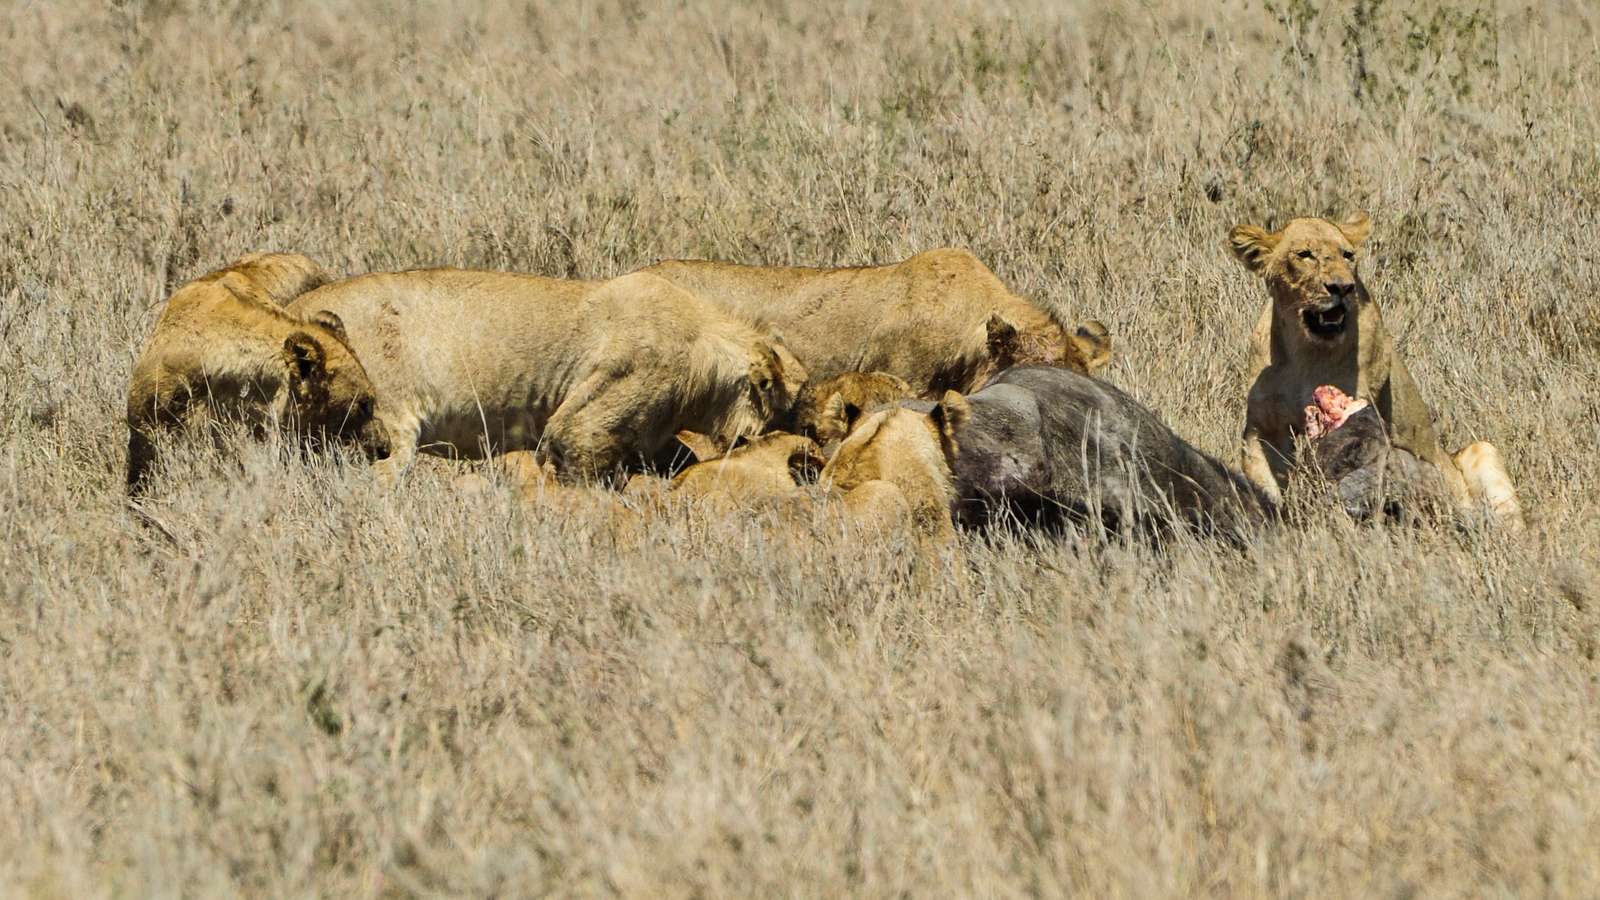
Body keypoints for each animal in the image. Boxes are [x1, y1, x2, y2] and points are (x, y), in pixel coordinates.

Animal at [1228, 211, 1516, 525]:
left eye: (1348, 255)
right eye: (1304, 255)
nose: (1342, 287)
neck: (1307, 352)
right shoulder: (1263, 429)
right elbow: (1265, 484)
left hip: (1482, 451)